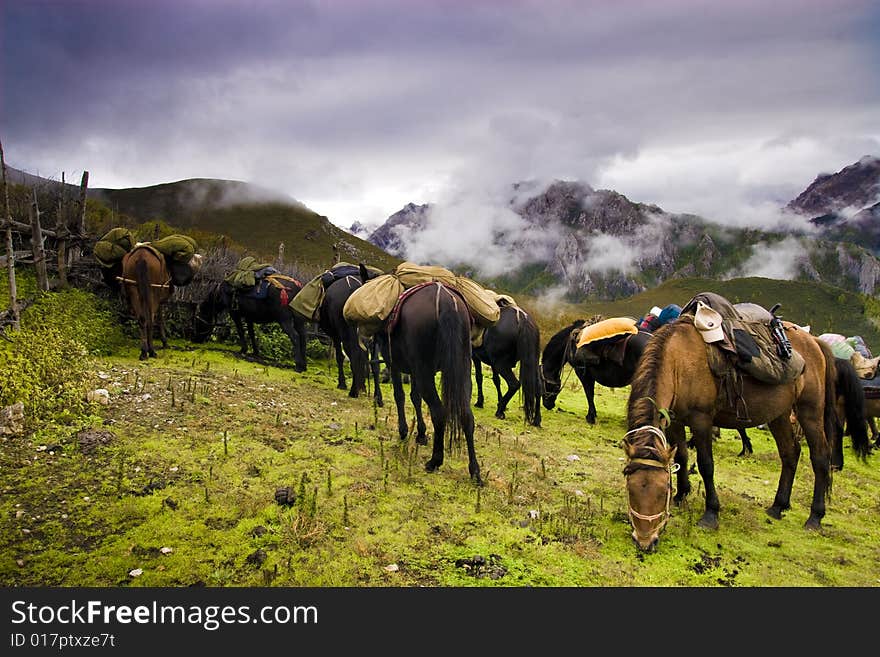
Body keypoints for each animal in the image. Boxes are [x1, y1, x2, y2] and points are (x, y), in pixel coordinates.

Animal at [318, 268, 384, 404]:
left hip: (346, 333)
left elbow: (340, 357)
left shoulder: (336, 335)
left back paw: (353, 391)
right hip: (375, 336)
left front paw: (342, 384)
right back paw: (378, 398)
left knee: (354, 355)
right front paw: (363, 387)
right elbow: (365, 360)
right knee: (374, 362)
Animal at [372, 280, 482, 482]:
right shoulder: (415, 370)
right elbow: (415, 397)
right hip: (461, 370)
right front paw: (421, 433)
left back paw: (435, 461)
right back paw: (475, 471)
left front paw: (404, 432)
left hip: (425, 372)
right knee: (467, 416)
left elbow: (400, 395)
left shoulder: (395, 364)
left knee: (439, 412)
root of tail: (447, 301)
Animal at [624, 316, 868, 552]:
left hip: (810, 411)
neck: (678, 361)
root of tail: (815, 342)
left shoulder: (701, 420)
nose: (645, 541)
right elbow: (681, 457)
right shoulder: (674, 419)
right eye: (630, 488)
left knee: (820, 457)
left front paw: (710, 514)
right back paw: (778, 506)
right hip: (779, 414)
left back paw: (815, 517)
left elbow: (706, 465)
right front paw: (681, 495)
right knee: (790, 453)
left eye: (662, 490)